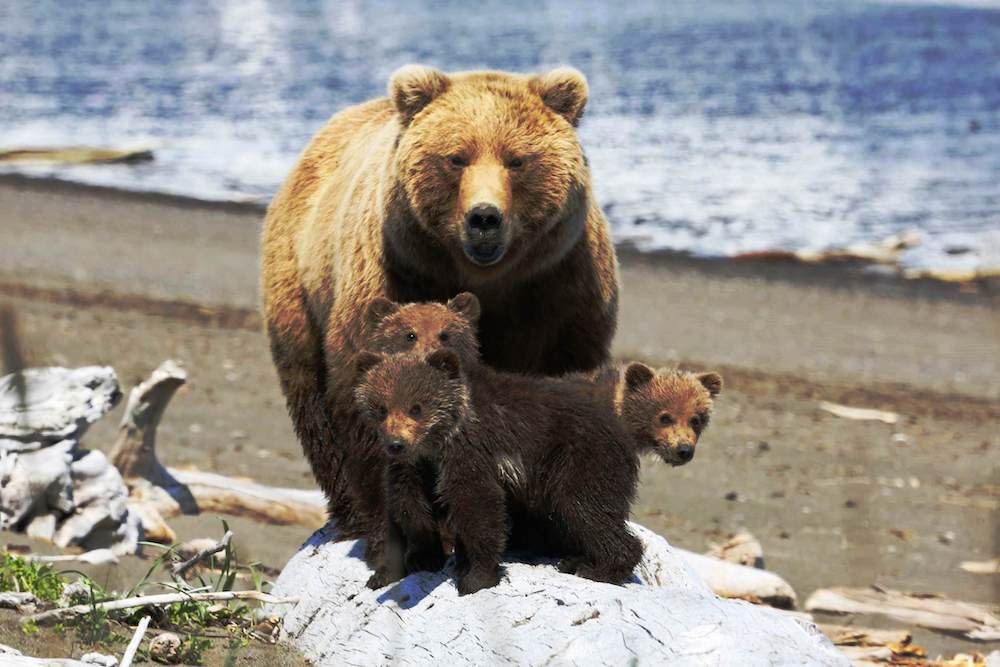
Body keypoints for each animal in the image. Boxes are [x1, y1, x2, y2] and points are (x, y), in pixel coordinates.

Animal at [260, 65, 619, 535]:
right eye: (456, 157)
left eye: (516, 159)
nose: (484, 217)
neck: (485, 280)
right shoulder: (394, 278)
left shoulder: (559, 293)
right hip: (297, 284)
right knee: (309, 392)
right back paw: (348, 510)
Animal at [353, 350, 643, 595]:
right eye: (381, 408)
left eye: (416, 407)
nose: (396, 443)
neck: (437, 442)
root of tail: (624, 437)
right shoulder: (415, 466)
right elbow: (406, 505)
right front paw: (401, 566)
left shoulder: (472, 448)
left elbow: (477, 503)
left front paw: (476, 577)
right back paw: (573, 560)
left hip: (580, 459)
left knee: (584, 507)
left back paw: (600, 568)